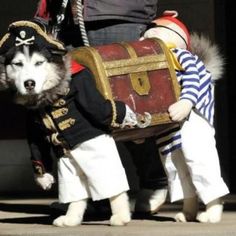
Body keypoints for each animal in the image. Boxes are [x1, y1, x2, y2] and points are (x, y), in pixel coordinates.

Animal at [0, 21, 138, 228]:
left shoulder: (84, 86)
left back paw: (121, 216)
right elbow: (36, 143)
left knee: (110, 183)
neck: (47, 95)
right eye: (18, 64)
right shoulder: (32, 122)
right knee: (76, 191)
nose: (29, 83)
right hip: (68, 165)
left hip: (98, 155)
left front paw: (127, 114)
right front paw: (43, 178)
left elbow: (100, 108)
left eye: (39, 63)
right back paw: (71, 218)